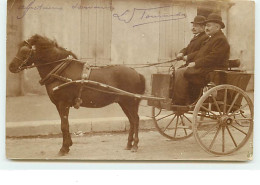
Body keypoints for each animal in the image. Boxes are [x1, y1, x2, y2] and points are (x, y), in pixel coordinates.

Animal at [8, 34, 146, 155]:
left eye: (25, 51)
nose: (11, 67)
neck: (60, 71)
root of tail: (137, 73)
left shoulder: (63, 103)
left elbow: (64, 125)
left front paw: (63, 149)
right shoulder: (59, 105)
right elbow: (65, 124)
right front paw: (68, 145)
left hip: (130, 102)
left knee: (136, 120)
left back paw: (135, 145)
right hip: (123, 103)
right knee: (132, 121)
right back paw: (129, 144)